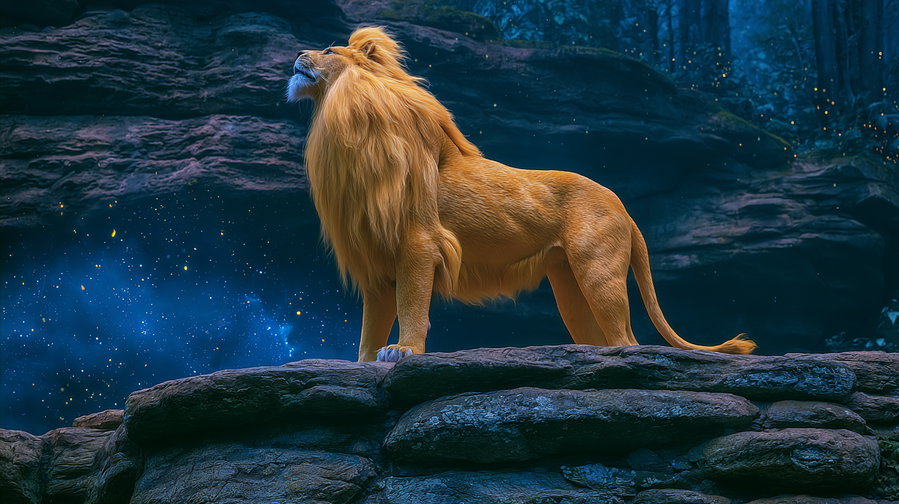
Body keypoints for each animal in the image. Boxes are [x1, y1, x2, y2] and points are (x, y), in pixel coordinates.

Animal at [287, 26, 757, 362]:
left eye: (328, 50)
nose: (296, 55)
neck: (347, 114)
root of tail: (623, 206)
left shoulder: (419, 244)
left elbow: (412, 303)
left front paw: (403, 351)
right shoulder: (376, 259)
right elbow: (370, 326)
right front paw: (363, 363)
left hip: (598, 272)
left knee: (628, 338)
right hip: (568, 283)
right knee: (601, 337)